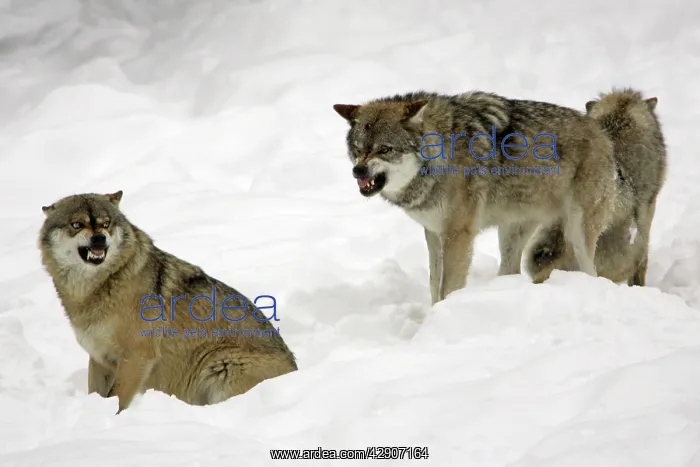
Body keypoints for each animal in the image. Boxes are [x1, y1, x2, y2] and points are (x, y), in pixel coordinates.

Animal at [39, 191, 297, 413]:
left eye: (105, 223)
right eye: (77, 224)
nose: (99, 238)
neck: (98, 287)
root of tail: (296, 369)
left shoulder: (137, 357)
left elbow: (117, 399)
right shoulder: (99, 358)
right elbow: (97, 394)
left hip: (219, 365)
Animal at [333, 90, 619, 304]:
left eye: (384, 149)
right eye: (357, 149)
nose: (358, 170)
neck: (439, 155)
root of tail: (600, 131)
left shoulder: (458, 234)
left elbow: (447, 287)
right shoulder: (433, 232)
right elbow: (434, 285)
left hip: (578, 234)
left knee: (593, 272)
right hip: (511, 234)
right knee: (510, 271)